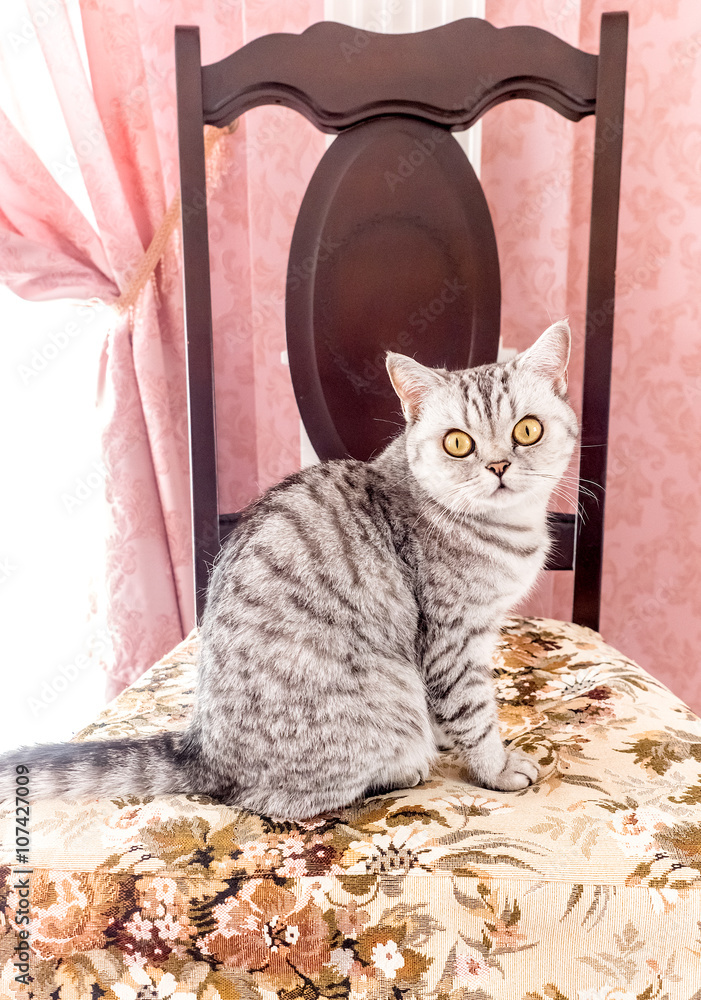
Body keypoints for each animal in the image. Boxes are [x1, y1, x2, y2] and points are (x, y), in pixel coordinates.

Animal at [0, 320, 576, 820]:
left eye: (527, 430)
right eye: (458, 442)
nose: (498, 466)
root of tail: (200, 751)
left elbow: (451, 712)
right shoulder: (453, 638)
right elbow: (475, 714)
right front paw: (496, 767)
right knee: (276, 800)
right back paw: (402, 770)